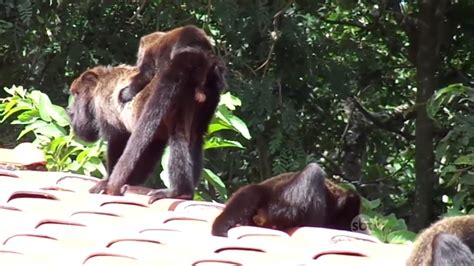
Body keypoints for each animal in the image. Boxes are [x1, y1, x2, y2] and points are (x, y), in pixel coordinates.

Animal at [69, 43, 227, 203]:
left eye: (76, 94)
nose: (70, 111)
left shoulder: (105, 107)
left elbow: (118, 139)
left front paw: (108, 180)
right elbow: (153, 146)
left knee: (176, 135)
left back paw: (178, 192)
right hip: (207, 98)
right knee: (191, 136)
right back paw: (186, 192)